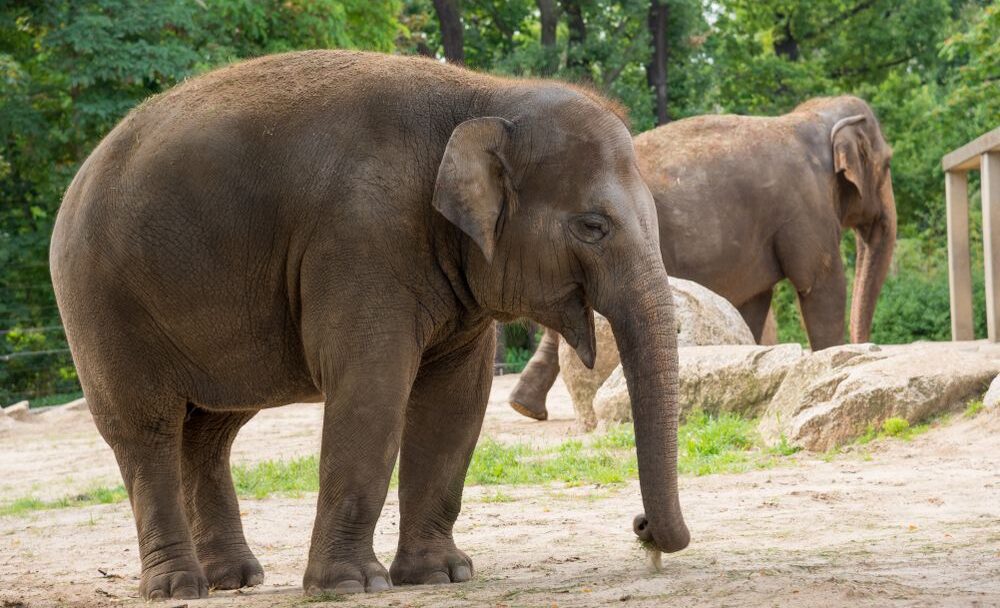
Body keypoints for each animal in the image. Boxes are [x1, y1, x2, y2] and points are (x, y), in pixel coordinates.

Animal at [50, 51, 692, 600]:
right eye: (593, 226)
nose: (643, 529)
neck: (484, 94)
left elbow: (457, 402)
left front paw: (442, 575)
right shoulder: (361, 240)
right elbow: (372, 390)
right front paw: (351, 586)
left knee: (210, 432)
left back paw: (234, 580)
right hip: (101, 304)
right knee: (147, 429)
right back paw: (177, 588)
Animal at [508, 95, 900, 420]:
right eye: (887, 164)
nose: (868, 347)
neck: (811, 116)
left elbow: (754, 304)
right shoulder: (807, 206)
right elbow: (820, 285)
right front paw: (832, 362)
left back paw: (525, 408)